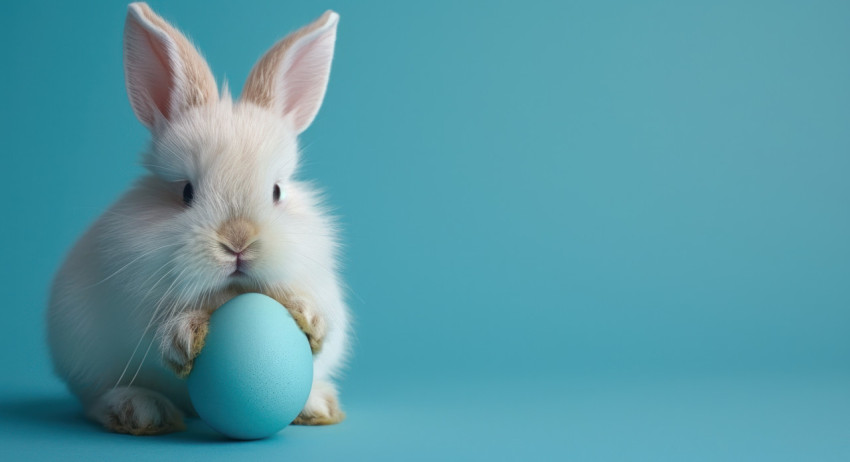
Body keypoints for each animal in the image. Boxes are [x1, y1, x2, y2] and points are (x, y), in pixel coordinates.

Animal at [44, 2, 350, 436]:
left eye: (277, 192)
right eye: (187, 192)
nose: (238, 242)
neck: (231, 294)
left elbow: (320, 315)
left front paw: (307, 316)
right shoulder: (132, 299)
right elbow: (154, 333)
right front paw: (185, 335)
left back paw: (315, 405)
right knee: (97, 399)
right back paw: (140, 411)